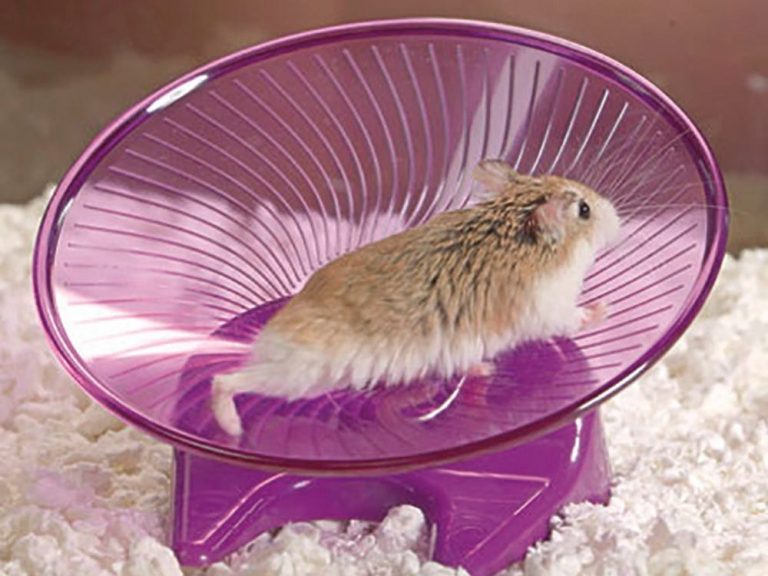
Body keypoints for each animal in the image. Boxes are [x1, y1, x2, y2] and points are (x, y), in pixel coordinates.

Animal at [211, 159, 621, 435]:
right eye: (585, 210)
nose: (617, 216)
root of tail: (267, 337)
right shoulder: (549, 309)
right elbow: (576, 318)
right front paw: (606, 307)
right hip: (296, 374)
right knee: (224, 379)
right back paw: (233, 428)